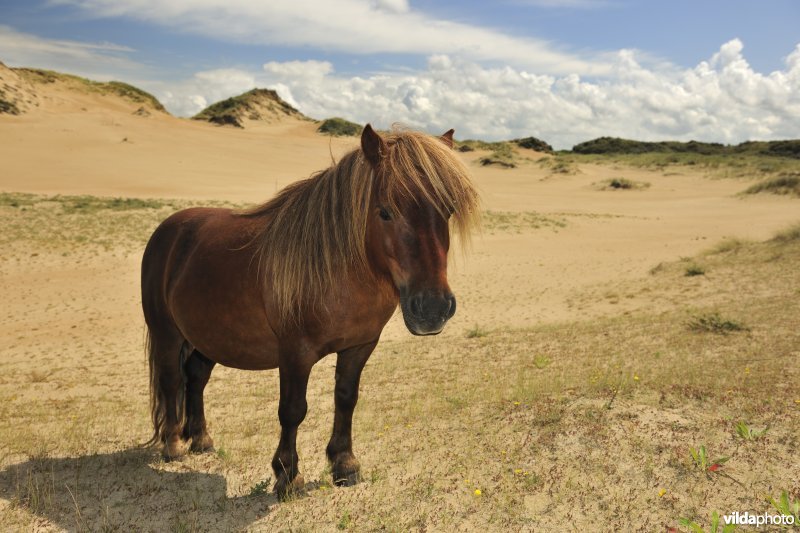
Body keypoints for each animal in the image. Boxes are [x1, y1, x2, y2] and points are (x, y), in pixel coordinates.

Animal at [141, 124, 480, 499]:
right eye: (385, 211)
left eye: (448, 210)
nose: (433, 308)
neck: (338, 274)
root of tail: (168, 228)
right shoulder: (294, 354)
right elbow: (292, 411)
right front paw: (288, 475)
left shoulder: (359, 347)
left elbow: (346, 398)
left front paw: (344, 464)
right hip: (167, 334)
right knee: (172, 380)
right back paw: (173, 445)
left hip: (207, 339)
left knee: (196, 378)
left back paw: (201, 439)